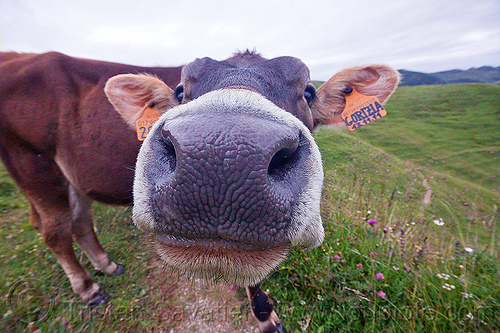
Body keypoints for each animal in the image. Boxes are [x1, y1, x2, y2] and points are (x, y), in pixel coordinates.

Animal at [0, 50, 398, 330]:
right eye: (179, 91)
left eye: (309, 92)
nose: (221, 156)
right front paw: (266, 318)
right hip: (32, 163)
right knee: (54, 230)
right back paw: (88, 288)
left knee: (80, 220)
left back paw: (106, 264)